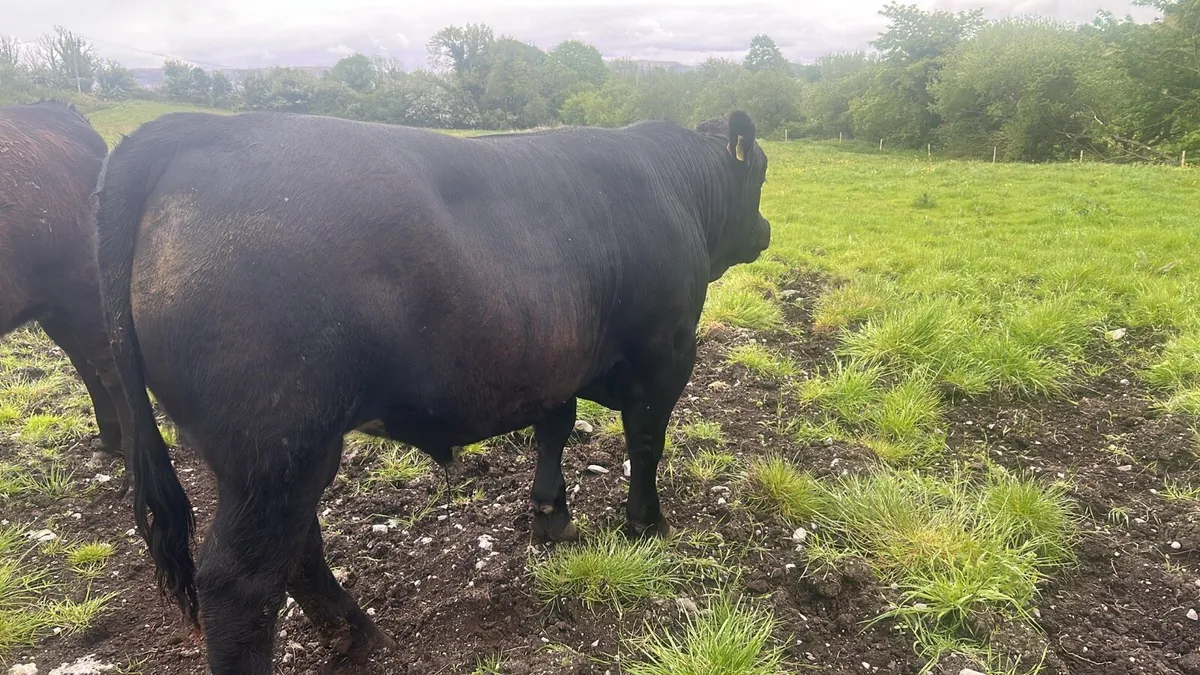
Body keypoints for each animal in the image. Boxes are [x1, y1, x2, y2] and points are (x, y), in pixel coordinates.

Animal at [93, 109, 771, 673]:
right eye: (762, 172)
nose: (765, 230)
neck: (673, 186)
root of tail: (196, 128)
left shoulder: (550, 357)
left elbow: (554, 428)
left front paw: (552, 516)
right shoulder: (666, 352)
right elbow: (647, 441)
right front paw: (646, 525)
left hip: (275, 458)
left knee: (298, 549)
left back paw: (359, 635)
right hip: (276, 448)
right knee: (241, 582)